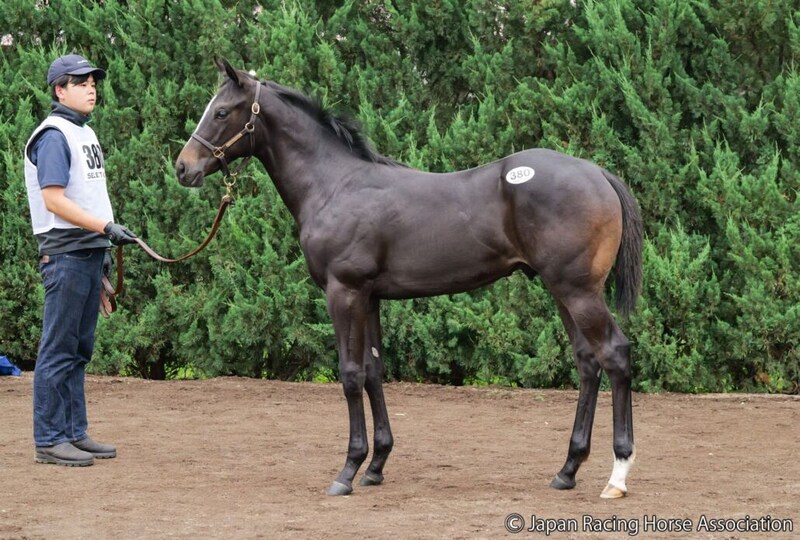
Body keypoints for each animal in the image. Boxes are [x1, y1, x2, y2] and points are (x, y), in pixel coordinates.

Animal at [175, 58, 644, 499]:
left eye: (221, 112)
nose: (183, 168)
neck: (336, 186)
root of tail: (598, 173)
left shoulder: (343, 292)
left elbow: (350, 374)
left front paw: (347, 471)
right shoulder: (369, 297)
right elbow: (373, 371)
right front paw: (376, 466)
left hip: (577, 291)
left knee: (615, 355)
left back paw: (617, 475)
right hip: (561, 290)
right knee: (587, 363)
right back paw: (567, 470)